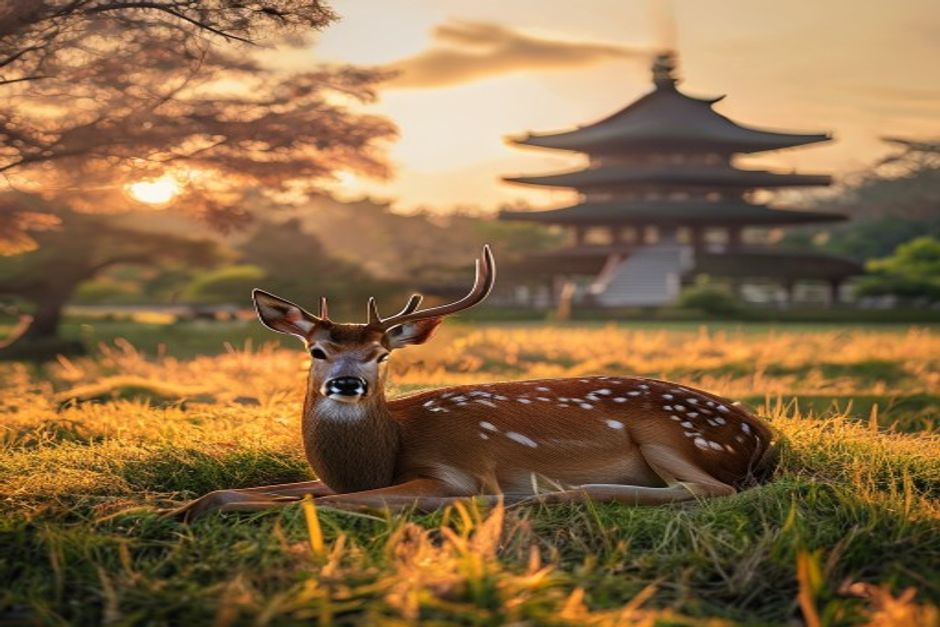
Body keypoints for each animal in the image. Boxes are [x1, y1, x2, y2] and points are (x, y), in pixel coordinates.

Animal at [170, 245, 777, 521]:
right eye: (317, 351)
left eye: (381, 354)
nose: (346, 384)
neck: (378, 455)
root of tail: (761, 435)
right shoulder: (333, 478)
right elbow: (236, 491)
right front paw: (163, 511)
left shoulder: (453, 473)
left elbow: (321, 505)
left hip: (667, 434)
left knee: (711, 490)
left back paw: (545, 496)